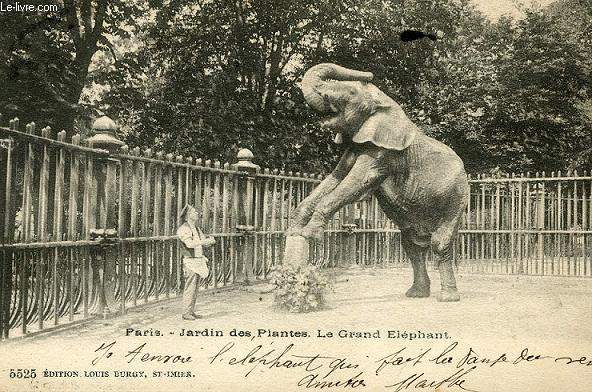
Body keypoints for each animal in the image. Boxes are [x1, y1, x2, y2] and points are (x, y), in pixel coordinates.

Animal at [288, 62, 472, 302]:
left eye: (351, 92)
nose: (369, 74)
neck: (384, 102)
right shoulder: (357, 145)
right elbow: (335, 177)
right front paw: (294, 229)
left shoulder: (384, 152)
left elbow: (358, 181)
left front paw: (308, 233)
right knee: (412, 245)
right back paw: (416, 294)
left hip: (456, 196)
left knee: (440, 242)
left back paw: (447, 298)